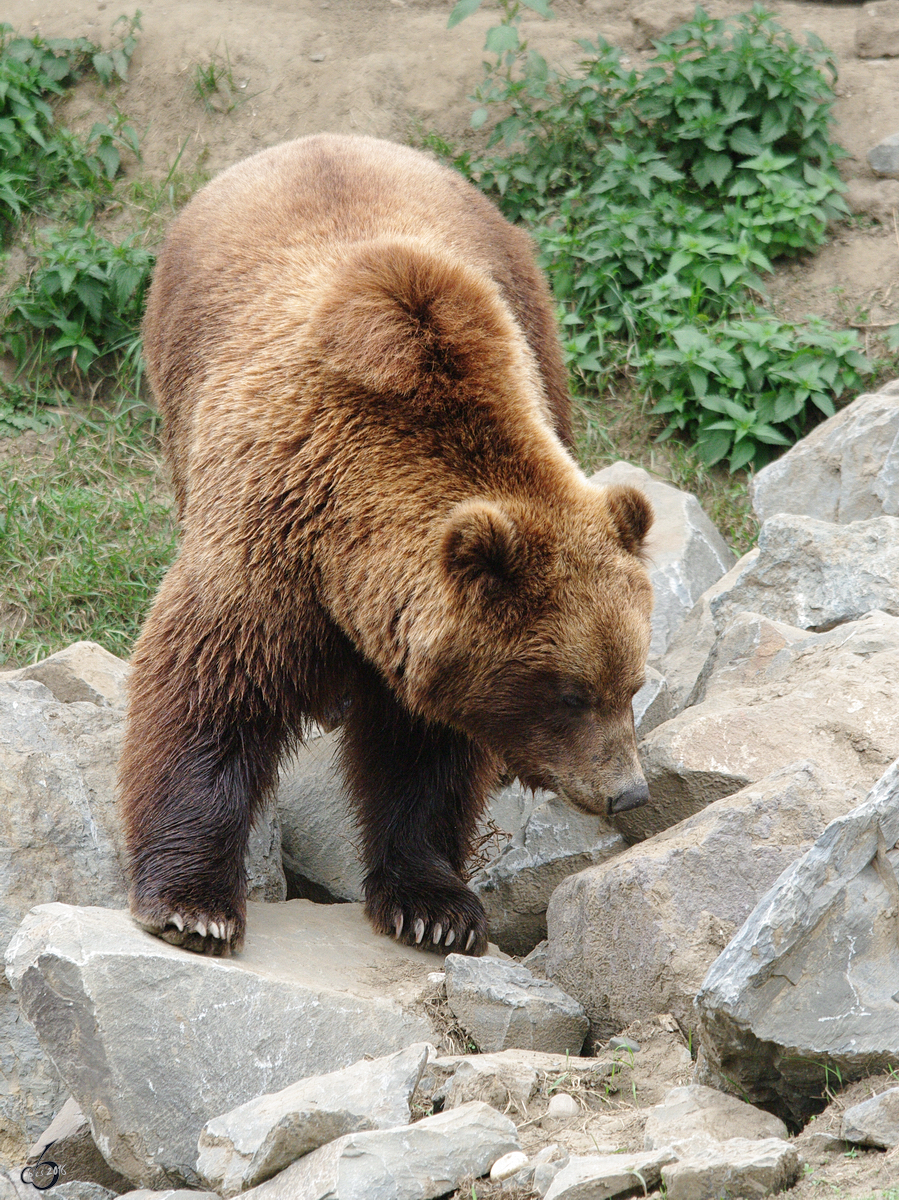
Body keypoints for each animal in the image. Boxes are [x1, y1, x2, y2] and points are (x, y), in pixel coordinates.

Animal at [121, 131, 652, 955]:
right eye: (570, 693)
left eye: (632, 682)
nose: (627, 791)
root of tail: (314, 138)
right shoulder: (270, 544)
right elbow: (209, 687)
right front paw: (192, 904)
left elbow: (421, 756)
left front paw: (432, 907)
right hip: (177, 371)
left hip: (531, 302)